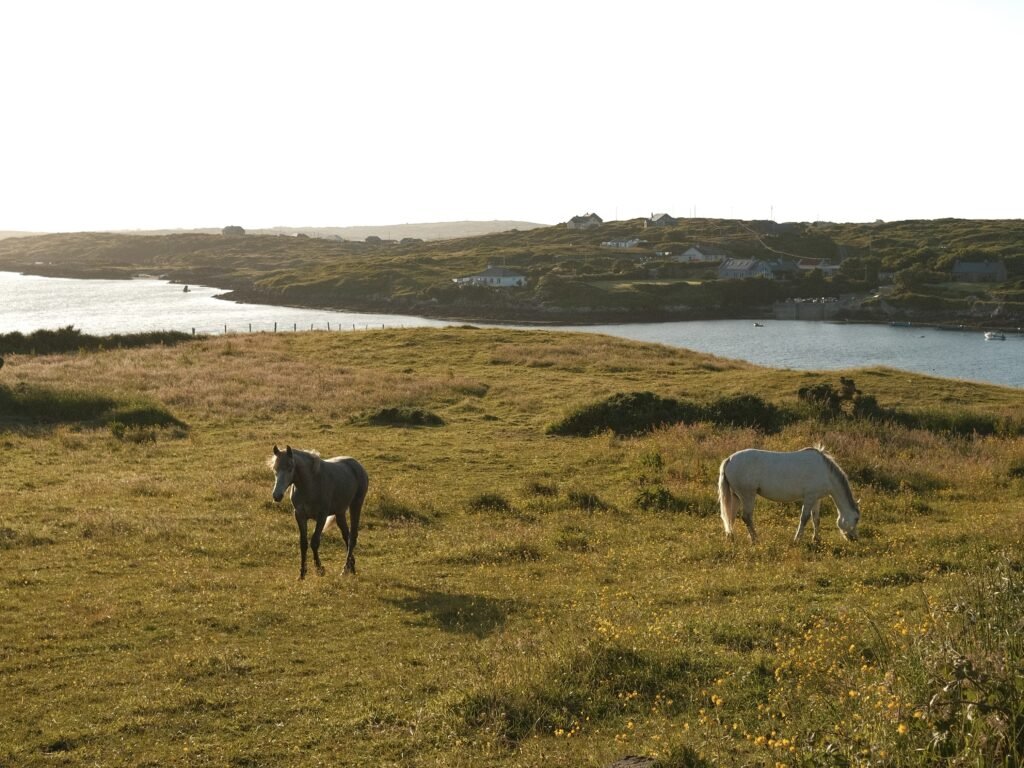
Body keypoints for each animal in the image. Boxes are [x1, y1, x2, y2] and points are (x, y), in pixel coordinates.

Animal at [270, 444, 370, 577]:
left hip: (356, 505)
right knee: (346, 536)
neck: (311, 484)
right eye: (275, 468)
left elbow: (315, 542)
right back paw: (351, 568)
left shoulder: (322, 516)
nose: (277, 496)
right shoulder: (300, 515)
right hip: (340, 512)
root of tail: (357, 465)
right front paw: (302, 574)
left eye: (290, 468)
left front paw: (319, 569)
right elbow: (303, 543)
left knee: (352, 537)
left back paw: (345, 569)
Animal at [716, 444, 860, 548]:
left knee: (730, 516)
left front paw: (816, 540)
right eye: (856, 519)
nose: (854, 539)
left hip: (736, 496)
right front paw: (797, 540)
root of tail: (729, 459)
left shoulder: (816, 499)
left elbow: (816, 519)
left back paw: (731, 538)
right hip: (747, 495)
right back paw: (755, 540)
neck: (825, 472)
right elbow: (804, 518)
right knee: (746, 517)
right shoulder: (809, 497)